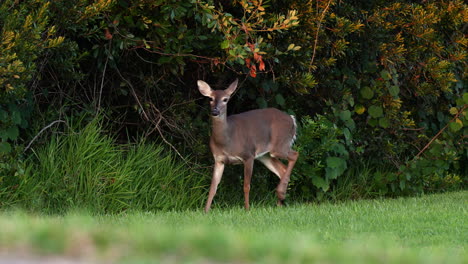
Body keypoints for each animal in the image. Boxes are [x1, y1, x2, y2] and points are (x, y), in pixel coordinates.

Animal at [197, 78, 300, 212]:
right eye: (210, 98)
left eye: (225, 99)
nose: (215, 111)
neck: (227, 141)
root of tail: (292, 119)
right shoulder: (219, 159)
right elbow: (213, 187)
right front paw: (206, 211)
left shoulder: (248, 155)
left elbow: (246, 186)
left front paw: (247, 209)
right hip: (265, 155)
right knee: (281, 169)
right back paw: (279, 203)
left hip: (279, 145)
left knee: (295, 154)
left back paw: (281, 193)